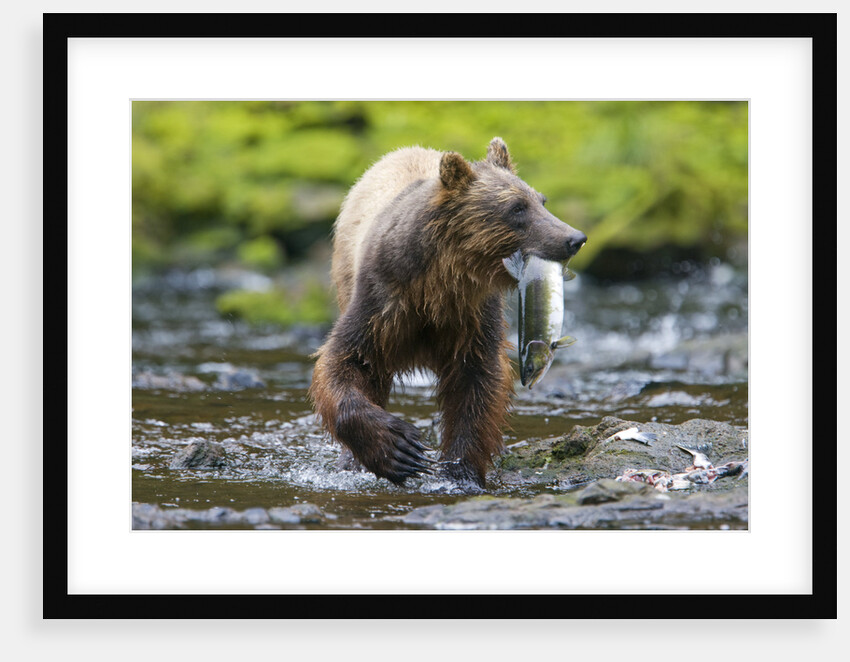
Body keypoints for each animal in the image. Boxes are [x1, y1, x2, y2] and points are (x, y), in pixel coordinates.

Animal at [309, 137, 586, 488]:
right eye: (516, 208)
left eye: (542, 200)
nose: (574, 238)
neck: (439, 285)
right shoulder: (382, 301)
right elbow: (344, 362)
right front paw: (399, 448)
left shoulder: (472, 317)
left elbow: (477, 386)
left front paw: (460, 470)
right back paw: (353, 461)